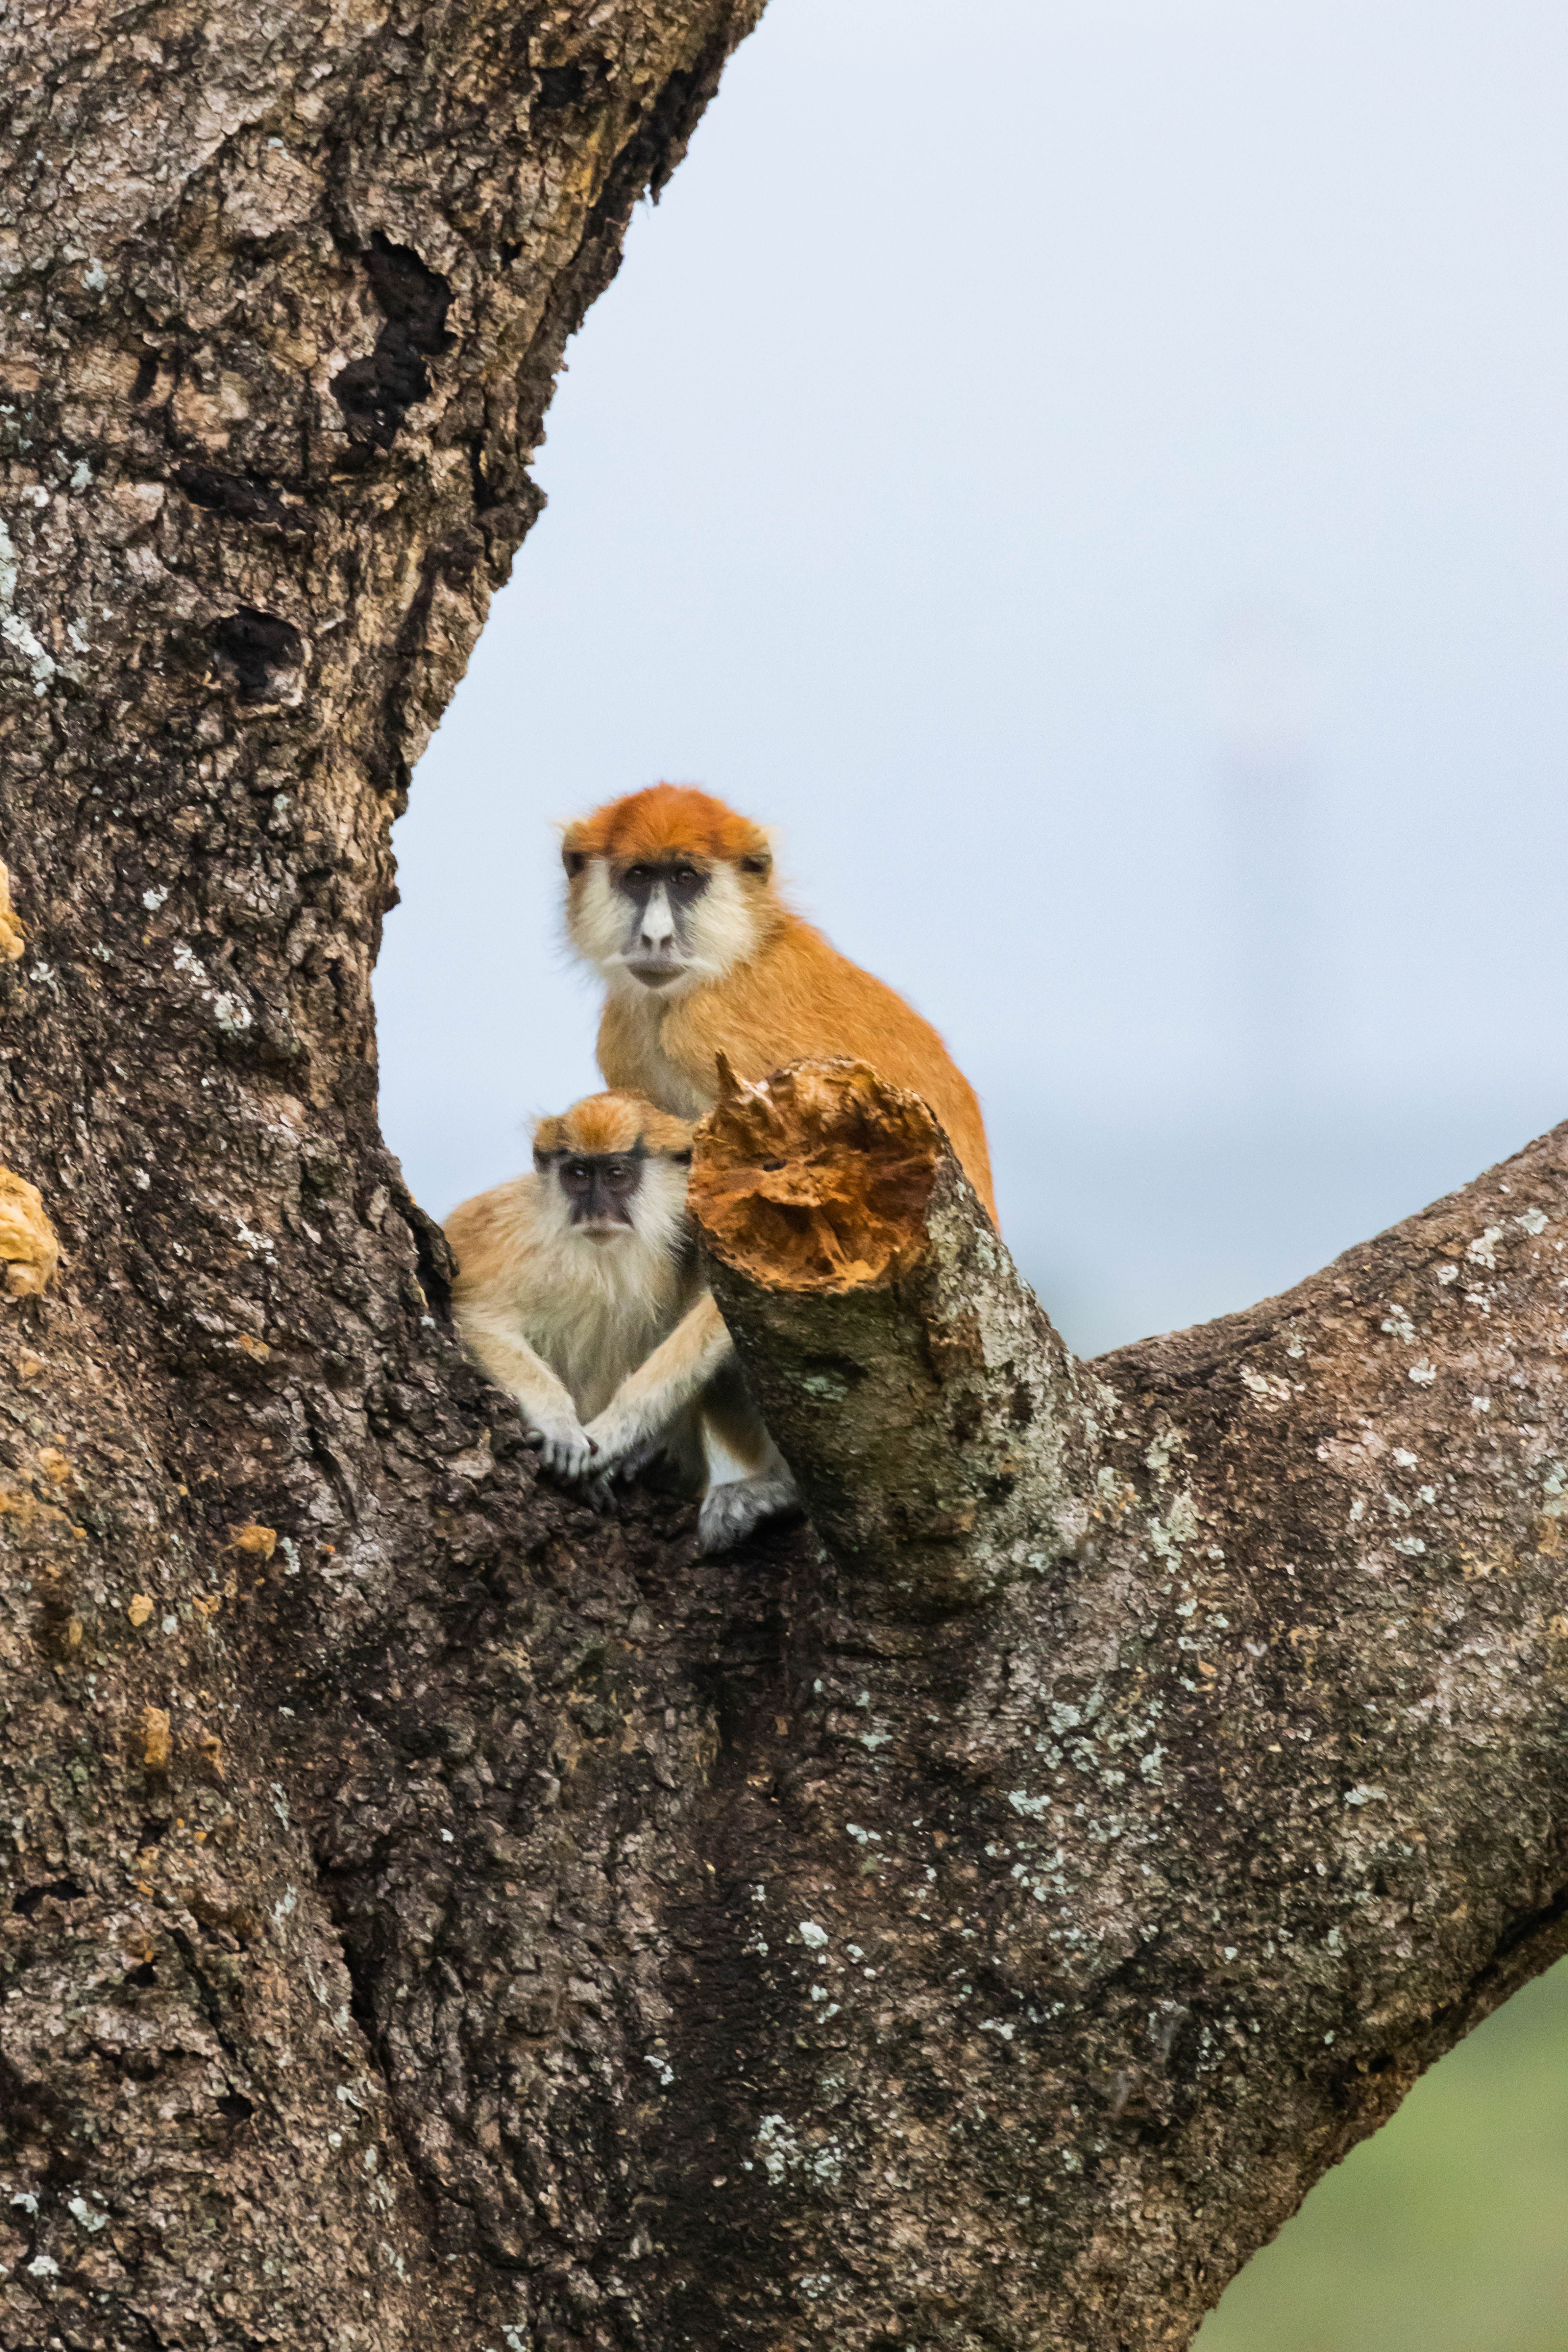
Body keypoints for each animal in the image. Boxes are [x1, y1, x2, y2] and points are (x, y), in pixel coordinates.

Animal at [443, 1090, 799, 1552]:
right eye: (577, 1175)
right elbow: (478, 1317)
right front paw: (557, 1424)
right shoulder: (514, 1236)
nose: (596, 1211)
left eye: (615, 1175)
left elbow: (729, 1312)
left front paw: (620, 1436)